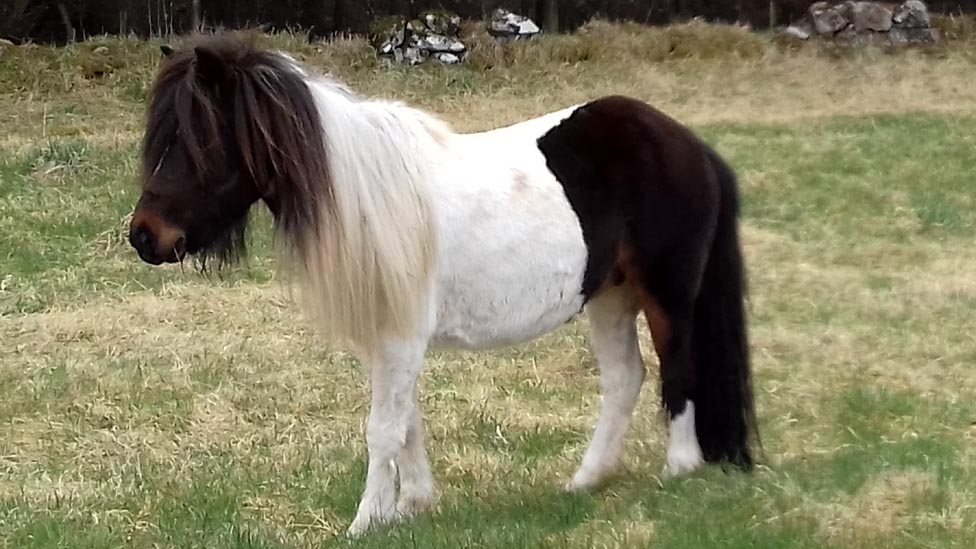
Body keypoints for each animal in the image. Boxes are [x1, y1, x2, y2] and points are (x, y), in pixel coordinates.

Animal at [128, 34, 757, 536]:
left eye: (200, 141)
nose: (143, 237)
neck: (364, 196)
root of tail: (689, 144)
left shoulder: (402, 336)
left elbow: (382, 429)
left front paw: (365, 521)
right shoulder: (387, 335)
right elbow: (406, 424)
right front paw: (412, 506)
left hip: (667, 295)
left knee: (678, 370)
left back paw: (679, 469)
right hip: (609, 295)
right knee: (626, 379)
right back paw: (584, 481)